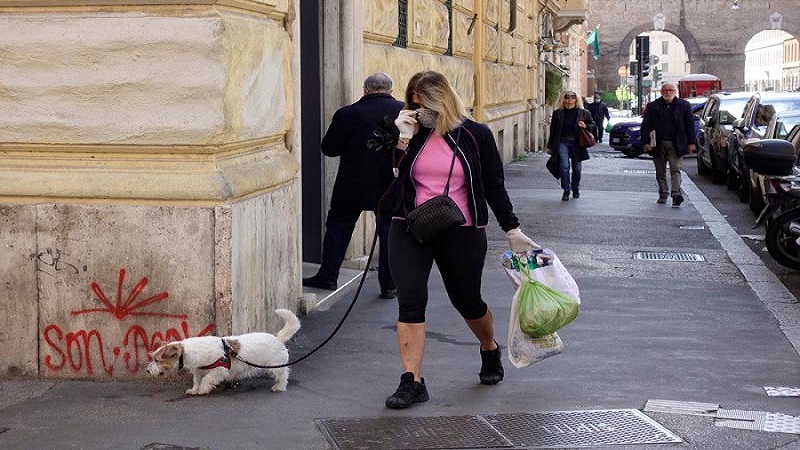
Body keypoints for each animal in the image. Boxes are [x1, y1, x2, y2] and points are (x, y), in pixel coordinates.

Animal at [146, 308, 300, 396]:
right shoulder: (199, 370)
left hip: (276, 366)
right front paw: (194, 390)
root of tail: (277, 337)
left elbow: (206, 379)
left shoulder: (219, 370)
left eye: (157, 360)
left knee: (283, 375)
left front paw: (203, 389)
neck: (187, 351)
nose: (147, 371)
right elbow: (197, 380)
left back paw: (279, 386)